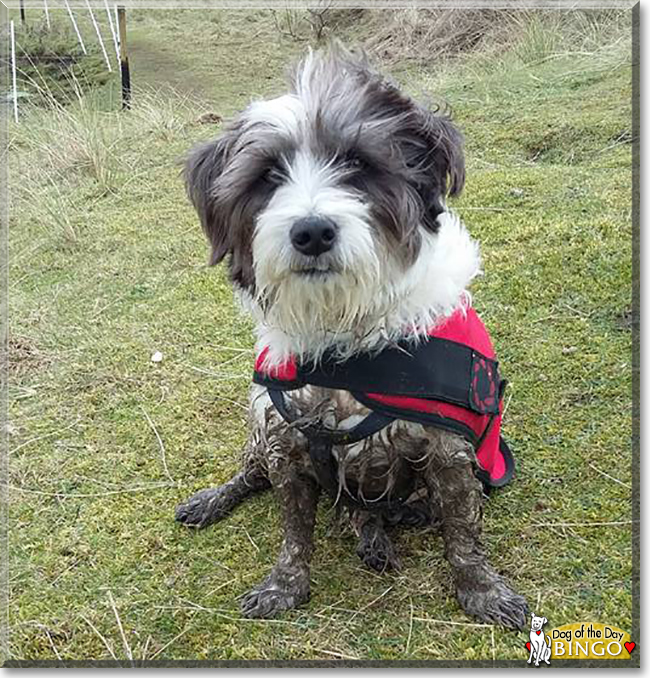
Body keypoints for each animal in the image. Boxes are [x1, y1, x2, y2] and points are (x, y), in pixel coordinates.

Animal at [176, 43, 528, 632]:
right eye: (268, 176)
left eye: (360, 165)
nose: (312, 231)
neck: (346, 338)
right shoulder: (286, 440)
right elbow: (294, 531)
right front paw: (285, 585)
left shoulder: (449, 452)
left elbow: (463, 532)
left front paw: (481, 591)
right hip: (259, 437)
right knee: (250, 474)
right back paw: (214, 499)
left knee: (376, 508)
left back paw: (379, 532)